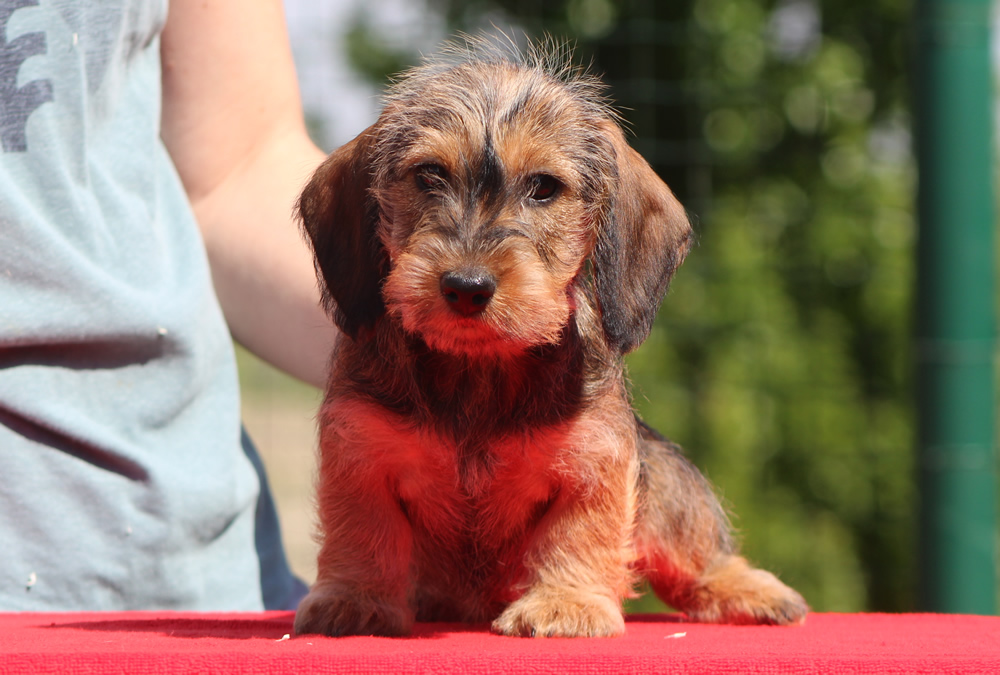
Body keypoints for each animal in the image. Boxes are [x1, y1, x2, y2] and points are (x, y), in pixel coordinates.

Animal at [292, 37, 808, 640]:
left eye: (543, 187)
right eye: (428, 174)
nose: (467, 286)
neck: (478, 372)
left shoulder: (594, 461)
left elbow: (576, 534)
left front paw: (566, 603)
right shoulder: (359, 454)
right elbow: (364, 531)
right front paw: (357, 599)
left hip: (665, 475)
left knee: (698, 556)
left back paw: (749, 590)